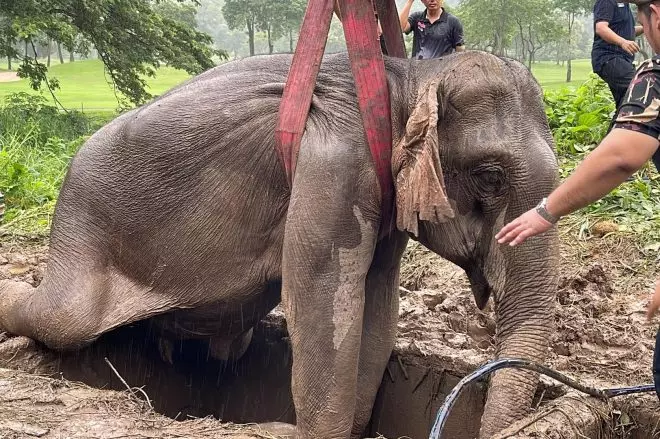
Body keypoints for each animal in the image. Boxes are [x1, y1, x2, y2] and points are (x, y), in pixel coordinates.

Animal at [0, 52, 556, 439]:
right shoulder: (335, 166)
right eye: (489, 177)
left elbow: (378, 304)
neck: (407, 78)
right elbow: (321, 298)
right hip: (81, 229)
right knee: (65, 318)